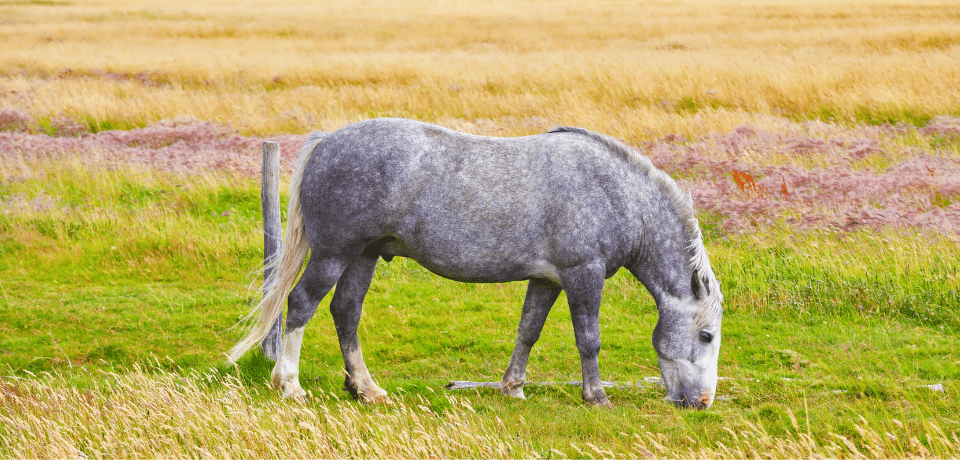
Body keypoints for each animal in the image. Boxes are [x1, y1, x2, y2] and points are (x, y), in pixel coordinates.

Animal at [229, 118, 724, 410]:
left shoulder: (547, 280)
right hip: (333, 254)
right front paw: (596, 396)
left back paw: (366, 389)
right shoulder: (583, 275)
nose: (702, 402)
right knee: (301, 305)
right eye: (706, 335)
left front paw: (513, 387)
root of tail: (327, 141)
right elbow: (589, 339)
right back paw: (290, 384)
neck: (614, 193)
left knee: (345, 312)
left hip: (363, 257)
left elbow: (528, 331)